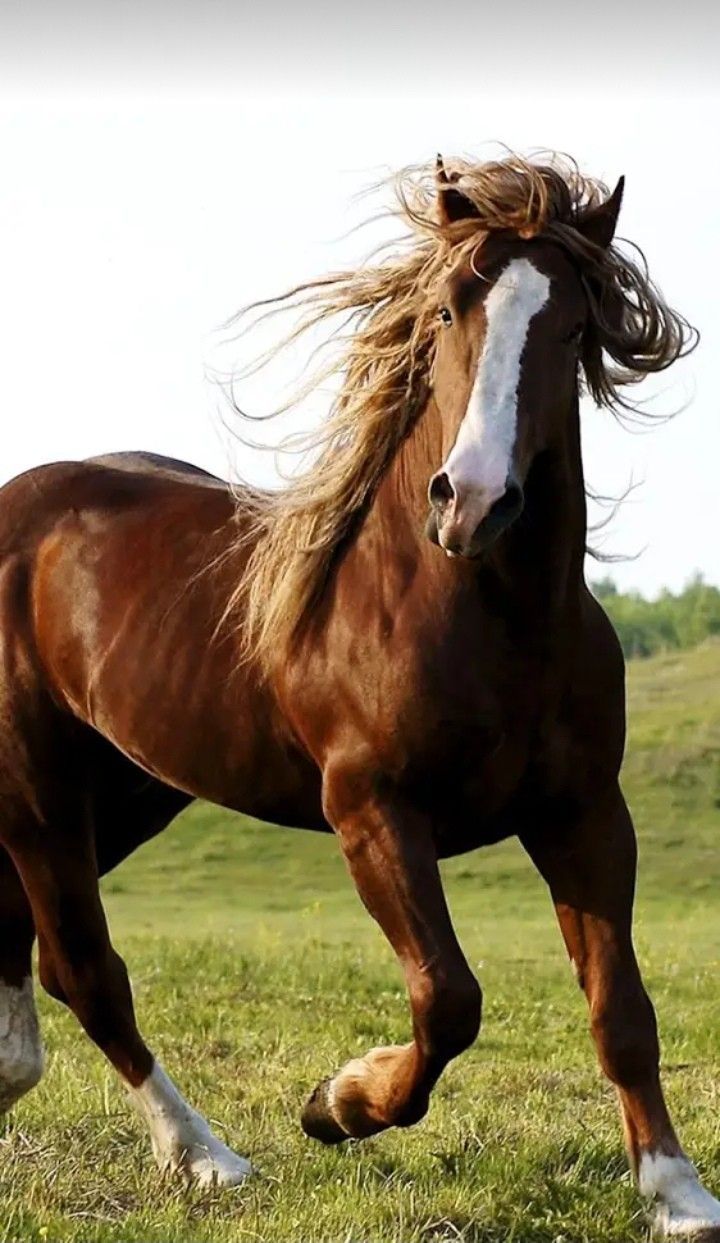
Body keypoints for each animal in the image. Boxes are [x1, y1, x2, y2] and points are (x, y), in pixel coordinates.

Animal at [0, 151, 717, 1240]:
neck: (480, 612)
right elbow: (449, 997)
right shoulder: (372, 809)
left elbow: (621, 1009)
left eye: (573, 324)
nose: (472, 501)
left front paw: (676, 1189)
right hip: (39, 790)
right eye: (453, 305)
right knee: (87, 970)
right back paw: (208, 1157)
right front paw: (336, 1103)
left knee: (23, 936)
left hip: (127, 790)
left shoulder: (585, 811)